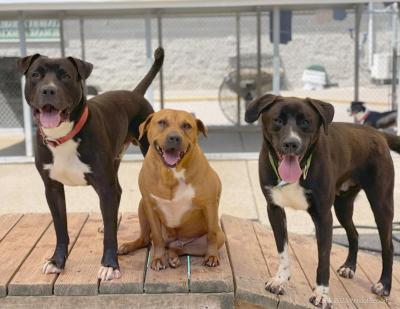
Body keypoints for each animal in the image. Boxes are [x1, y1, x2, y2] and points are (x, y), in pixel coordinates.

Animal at [17, 47, 164, 280]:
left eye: (66, 76)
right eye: (35, 75)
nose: (48, 90)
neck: (63, 136)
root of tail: (135, 93)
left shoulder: (104, 186)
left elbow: (110, 237)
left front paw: (110, 265)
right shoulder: (52, 188)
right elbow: (60, 229)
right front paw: (57, 262)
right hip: (114, 162)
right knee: (118, 191)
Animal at [118, 109, 225, 268]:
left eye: (187, 125)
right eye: (162, 122)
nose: (174, 138)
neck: (171, 173)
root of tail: (176, 241)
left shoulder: (209, 204)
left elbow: (211, 234)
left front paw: (212, 256)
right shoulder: (149, 205)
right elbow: (157, 237)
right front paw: (158, 258)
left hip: (209, 240)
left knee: (181, 249)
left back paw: (174, 257)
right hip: (142, 207)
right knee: (147, 239)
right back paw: (129, 246)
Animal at [245, 95, 396, 306]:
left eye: (305, 122)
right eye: (278, 120)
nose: (291, 143)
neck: (300, 170)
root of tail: (377, 133)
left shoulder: (323, 217)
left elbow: (324, 259)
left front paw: (321, 294)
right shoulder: (274, 209)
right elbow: (282, 251)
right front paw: (280, 280)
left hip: (381, 204)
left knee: (388, 246)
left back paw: (384, 285)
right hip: (342, 206)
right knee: (354, 234)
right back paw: (349, 267)